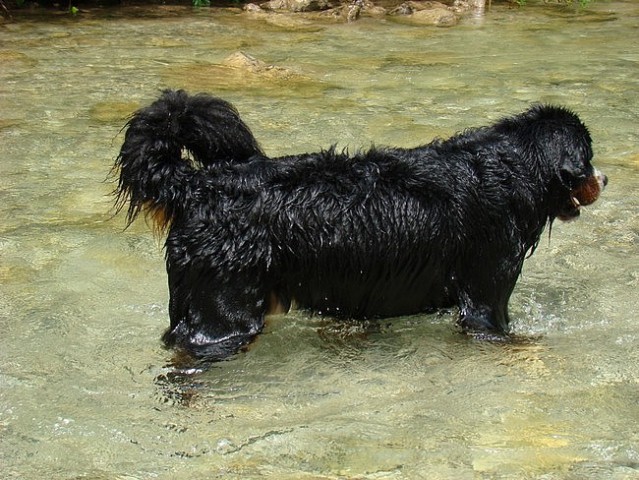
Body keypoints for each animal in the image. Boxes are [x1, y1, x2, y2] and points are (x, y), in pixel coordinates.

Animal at [112, 90, 608, 360]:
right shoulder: (488, 293)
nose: (605, 179)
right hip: (222, 311)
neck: (507, 172)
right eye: (588, 160)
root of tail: (197, 184)